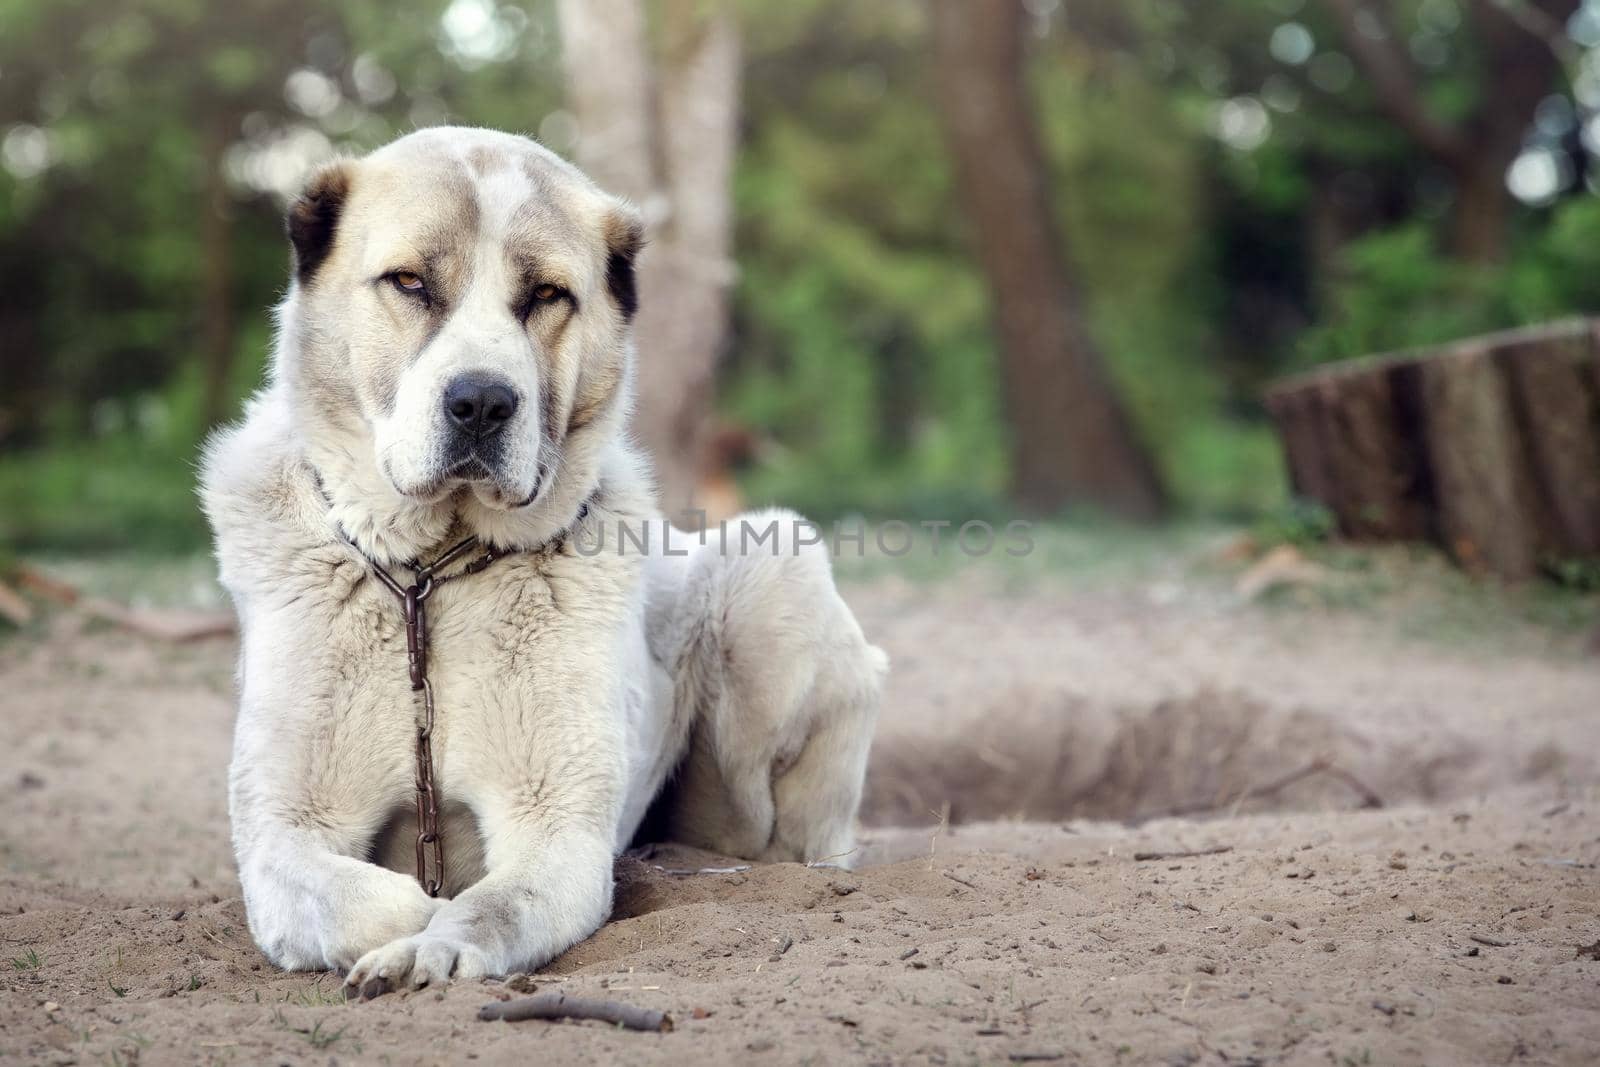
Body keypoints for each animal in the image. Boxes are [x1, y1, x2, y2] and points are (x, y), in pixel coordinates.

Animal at [200, 127, 889, 1004]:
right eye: (410, 282)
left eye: (547, 296)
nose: (482, 403)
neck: (429, 573)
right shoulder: (285, 831)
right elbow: (379, 897)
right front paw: (408, 935)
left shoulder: (556, 831)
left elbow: (485, 905)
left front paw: (434, 950)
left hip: (770, 559)